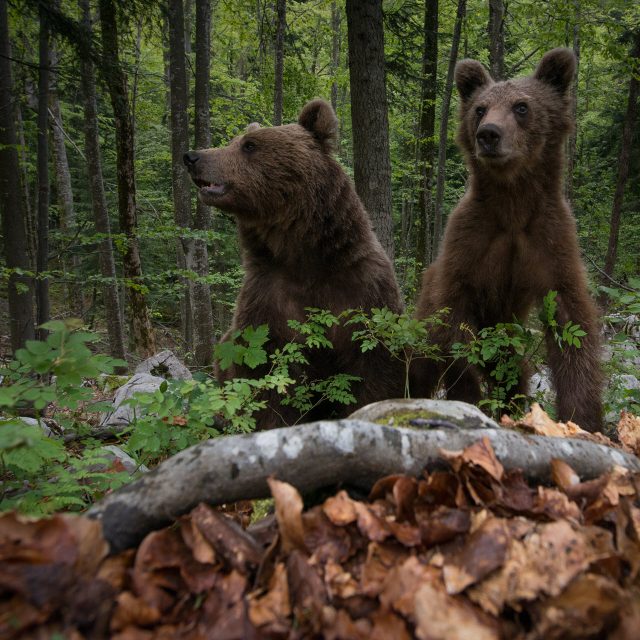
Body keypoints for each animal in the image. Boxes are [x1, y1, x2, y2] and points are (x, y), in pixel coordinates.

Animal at [185, 99, 404, 430]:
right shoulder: (267, 295)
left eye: (249, 145)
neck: (302, 255)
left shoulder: (362, 289)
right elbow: (264, 373)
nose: (192, 157)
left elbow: (375, 368)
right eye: (235, 140)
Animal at [412, 47, 604, 432]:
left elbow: (572, 322)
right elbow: (453, 326)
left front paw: (584, 418)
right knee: (422, 361)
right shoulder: (471, 242)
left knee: (514, 366)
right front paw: (469, 395)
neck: (513, 201)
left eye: (522, 106)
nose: (488, 134)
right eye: (480, 108)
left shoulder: (549, 241)